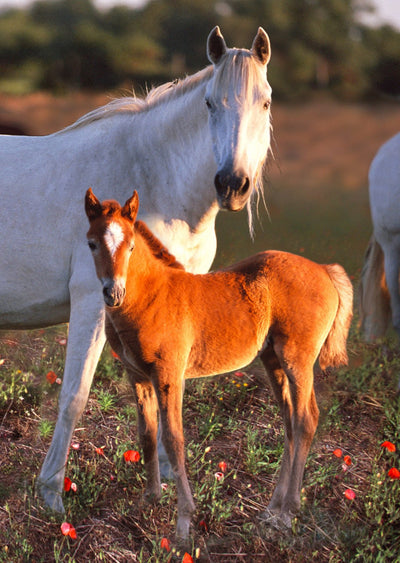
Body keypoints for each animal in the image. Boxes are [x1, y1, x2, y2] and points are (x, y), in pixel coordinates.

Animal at [0, 26, 274, 512]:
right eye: (209, 103)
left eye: (265, 101)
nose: (232, 185)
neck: (152, 180)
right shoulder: (94, 303)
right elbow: (74, 395)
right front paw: (50, 492)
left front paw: (167, 478)